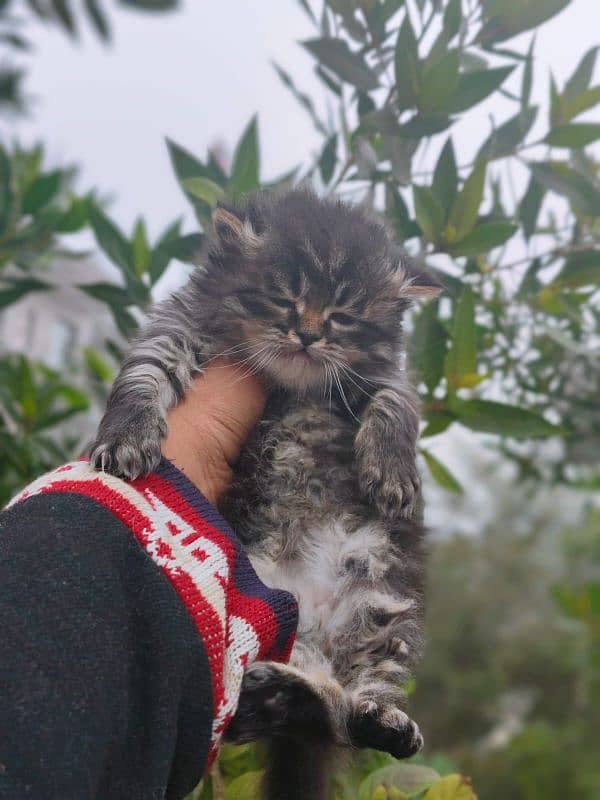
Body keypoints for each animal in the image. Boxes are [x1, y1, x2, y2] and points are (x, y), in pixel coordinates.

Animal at [91, 189, 440, 800]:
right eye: (284, 300)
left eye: (343, 316)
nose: (308, 334)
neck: (290, 383)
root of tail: (310, 619)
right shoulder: (176, 324)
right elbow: (143, 371)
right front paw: (127, 432)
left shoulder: (383, 370)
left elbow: (398, 403)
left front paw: (393, 469)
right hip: (247, 610)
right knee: (308, 712)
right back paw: (275, 698)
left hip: (384, 597)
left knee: (348, 708)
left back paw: (374, 719)